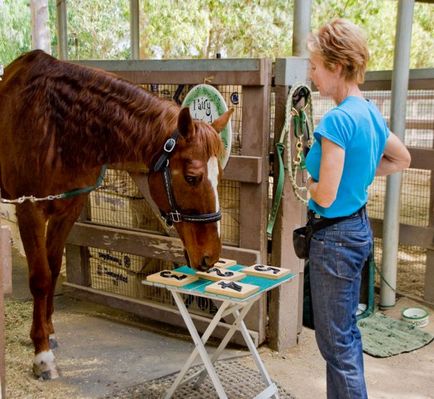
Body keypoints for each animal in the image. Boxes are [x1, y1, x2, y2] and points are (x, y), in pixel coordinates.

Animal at [0, 50, 234, 382]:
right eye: (192, 177)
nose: (210, 256)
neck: (55, 127)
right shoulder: (29, 209)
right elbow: (41, 278)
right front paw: (41, 354)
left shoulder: (67, 209)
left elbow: (54, 267)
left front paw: (48, 331)